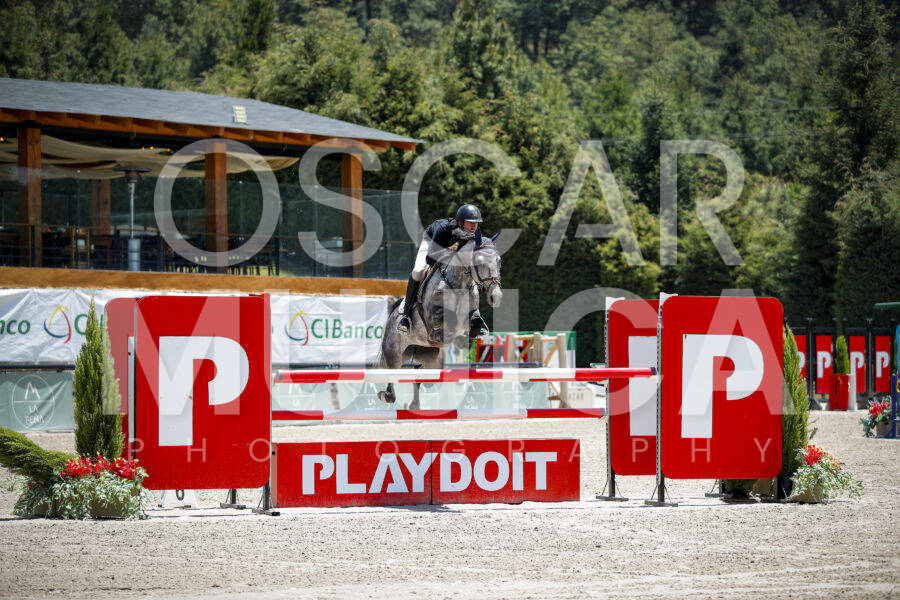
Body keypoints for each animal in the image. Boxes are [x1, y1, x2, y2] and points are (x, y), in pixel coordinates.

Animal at [376, 233, 503, 409]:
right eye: (479, 262)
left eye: (499, 261)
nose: (496, 297)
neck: (459, 284)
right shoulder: (432, 315)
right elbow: (451, 320)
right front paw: (454, 336)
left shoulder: (473, 313)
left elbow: (476, 323)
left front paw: (467, 338)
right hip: (394, 352)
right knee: (392, 379)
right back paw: (387, 395)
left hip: (433, 361)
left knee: (420, 373)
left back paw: (413, 404)